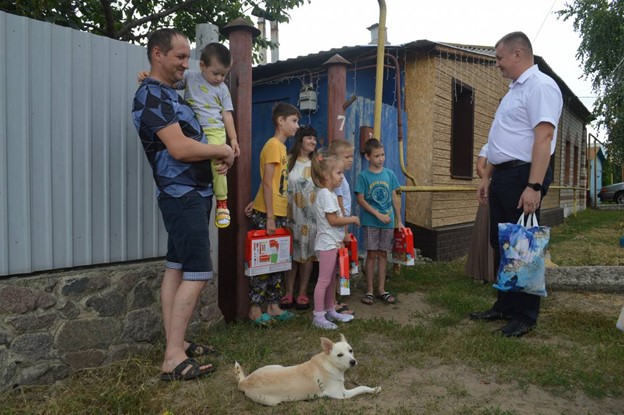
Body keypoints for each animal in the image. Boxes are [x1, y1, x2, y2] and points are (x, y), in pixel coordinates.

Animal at [234, 334, 380, 406]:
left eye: (351, 350)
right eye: (340, 355)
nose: (353, 361)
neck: (329, 363)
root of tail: (244, 383)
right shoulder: (342, 394)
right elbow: (361, 387)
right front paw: (374, 389)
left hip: (276, 365)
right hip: (272, 402)